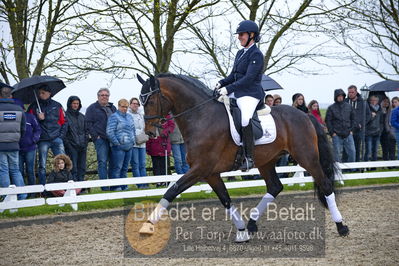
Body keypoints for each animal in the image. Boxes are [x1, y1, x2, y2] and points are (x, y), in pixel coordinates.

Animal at [138, 72, 350, 241]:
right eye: (140, 101)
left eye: (150, 101)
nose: (149, 133)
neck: (201, 116)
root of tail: (304, 115)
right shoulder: (210, 173)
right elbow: (225, 199)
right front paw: (242, 232)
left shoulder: (200, 169)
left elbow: (171, 191)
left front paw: (147, 226)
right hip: (266, 161)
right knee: (275, 187)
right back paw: (251, 224)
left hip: (307, 157)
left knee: (325, 184)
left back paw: (341, 226)